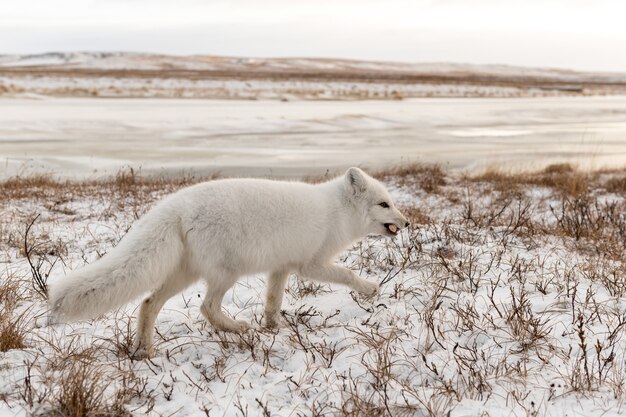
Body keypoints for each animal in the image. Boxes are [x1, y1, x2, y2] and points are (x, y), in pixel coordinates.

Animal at [50, 167, 410, 356]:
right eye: (384, 204)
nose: (407, 223)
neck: (338, 212)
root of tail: (176, 204)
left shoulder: (281, 267)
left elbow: (273, 300)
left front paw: (274, 327)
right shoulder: (312, 264)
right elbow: (348, 274)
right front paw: (371, 289)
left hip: (185, 274)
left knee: (149, 302)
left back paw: (145, 350)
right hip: (225, 273)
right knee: (206, 307)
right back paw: (236, 328)